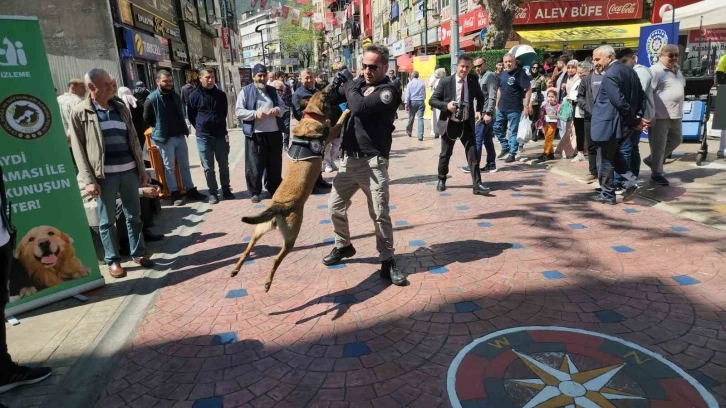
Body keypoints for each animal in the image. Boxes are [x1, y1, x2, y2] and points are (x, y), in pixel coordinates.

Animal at [230, 86, 350, 292]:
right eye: (326, 94)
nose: (333, 85)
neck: (310, 116)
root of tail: (278, 207)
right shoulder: (332, 133)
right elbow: (339, 121)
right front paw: (348, 110)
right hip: (291, 238)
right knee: (276, 260)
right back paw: (268, 282)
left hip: (259, 230)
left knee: (247, 250)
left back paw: (236, 269)